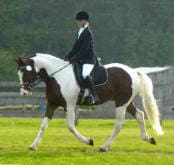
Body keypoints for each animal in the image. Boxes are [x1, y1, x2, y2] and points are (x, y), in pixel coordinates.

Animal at [14, 53, 163, 152]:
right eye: (19, 73)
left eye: (26, 72)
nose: (24, 93)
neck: (58, 77)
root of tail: (134, 71)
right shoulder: (52, 103)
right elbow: (43, 125)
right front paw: (33, 145)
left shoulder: (70, 105)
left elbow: (70, 127)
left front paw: (88, 141)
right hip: (126, 102)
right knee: (139, 115)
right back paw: (148, 138)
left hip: (121, 103)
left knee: (119, 123)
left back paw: (104, 147)